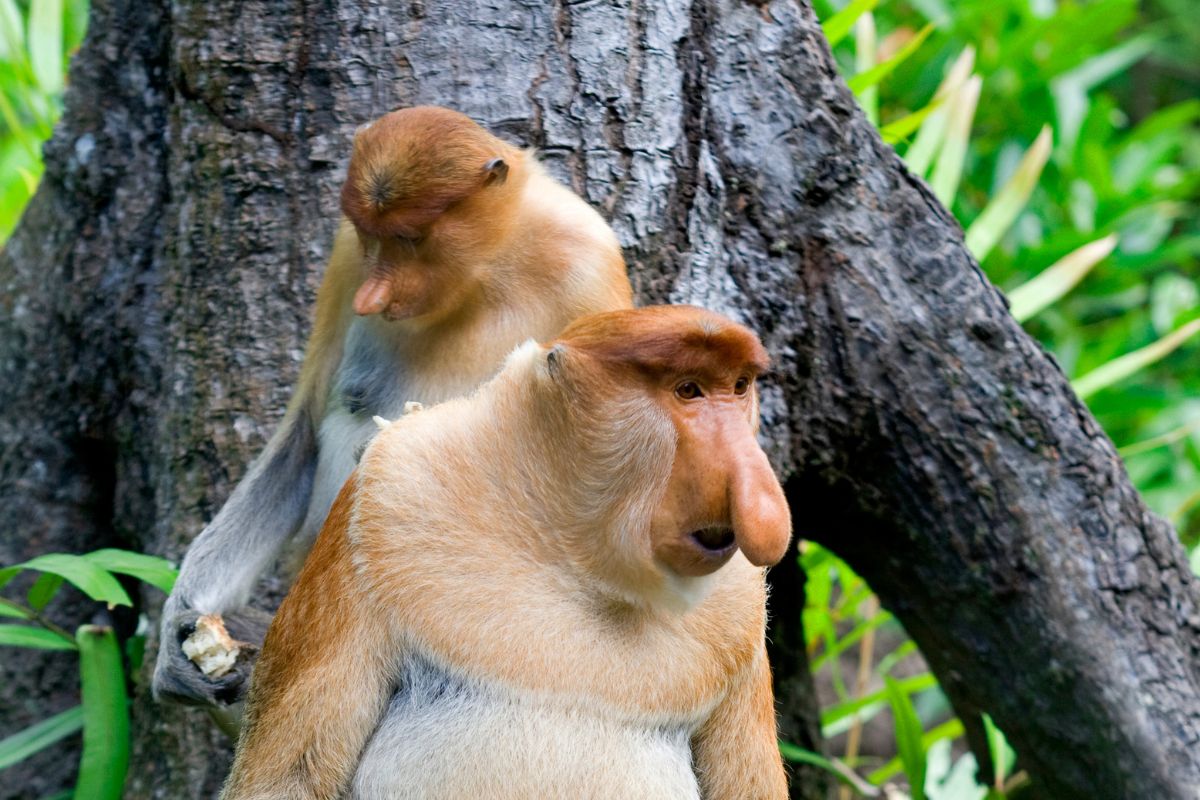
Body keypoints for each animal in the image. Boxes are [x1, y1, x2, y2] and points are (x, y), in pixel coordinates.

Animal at [152, 106, 633, 712]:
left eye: (410, 237)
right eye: (370, 234)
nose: (371, 299)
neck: (490, 265)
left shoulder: (591, 267)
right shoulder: (344, 256)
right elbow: (302, 437)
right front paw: (178, 638)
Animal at [220, 305, 792, 800]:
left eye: (738, 388)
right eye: (688, 390)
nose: (763, 507)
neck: (573, 556)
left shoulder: (740, 613)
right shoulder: (381, 495)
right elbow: (288, 779)